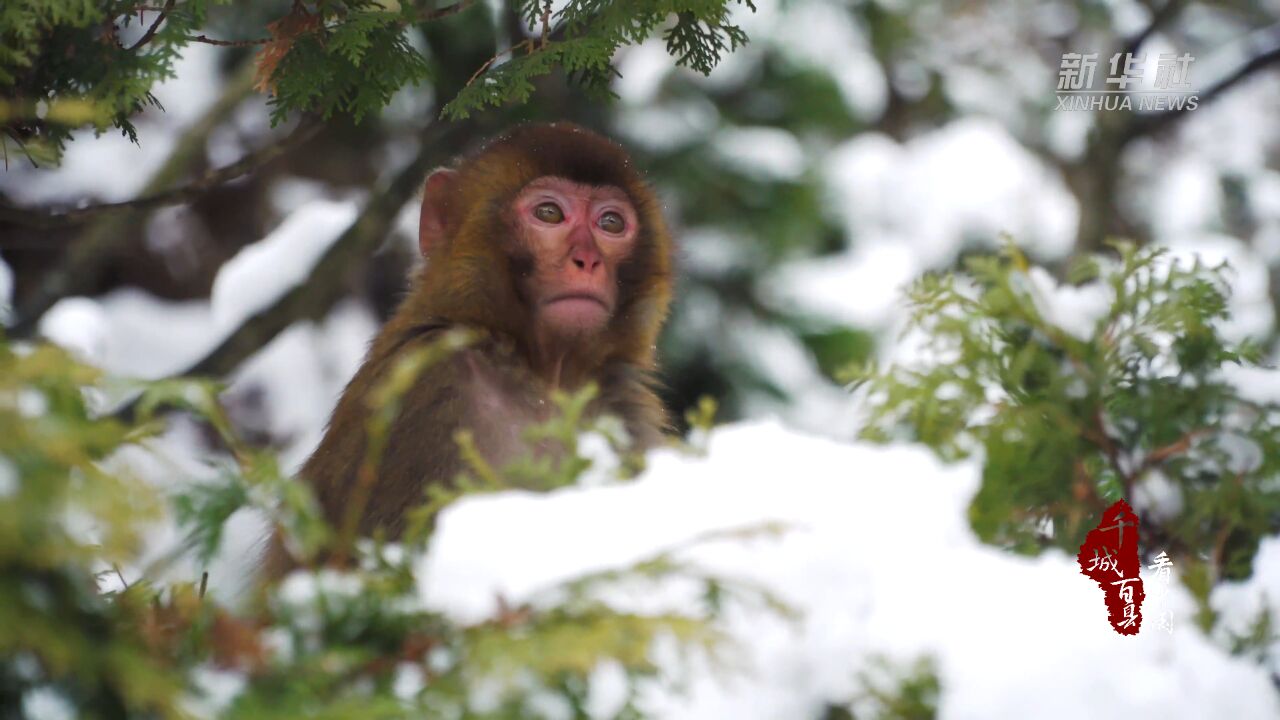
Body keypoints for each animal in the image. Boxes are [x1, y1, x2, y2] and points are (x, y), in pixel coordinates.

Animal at [264, 121, 675, 571]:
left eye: (611, 223)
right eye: (549, 213)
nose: (587, 260)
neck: (541, 372)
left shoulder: (625, 409)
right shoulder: (428, 388)